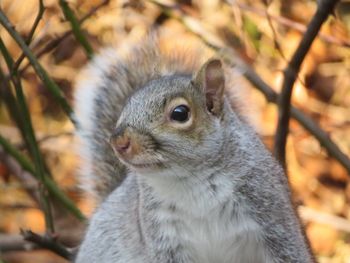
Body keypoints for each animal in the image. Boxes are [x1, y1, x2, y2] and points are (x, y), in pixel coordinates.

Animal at [74, 37, 314, 263]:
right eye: (127, 105)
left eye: (180, 113)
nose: (118, 141)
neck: (190, 180)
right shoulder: (162, 237)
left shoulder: (272, 216)